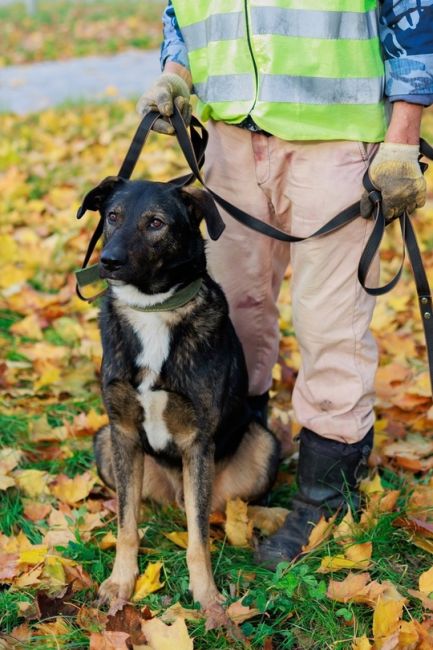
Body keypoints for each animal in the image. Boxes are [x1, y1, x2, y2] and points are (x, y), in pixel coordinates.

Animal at [81, 176, 280, 612]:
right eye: (112, 216)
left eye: (155, 223)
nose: (108, 261)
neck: (153, 310)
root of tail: (174, 492)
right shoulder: (122, 431)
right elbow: (126, 525)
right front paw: (121, 582)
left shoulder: (197, 442)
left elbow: (198, 538)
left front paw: (207, 597)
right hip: (105, 443)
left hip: (262, 445)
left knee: (225, 509)